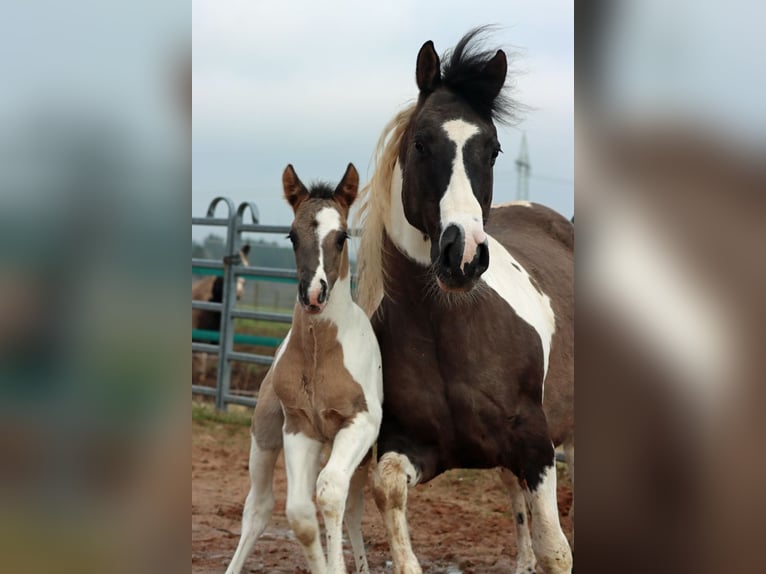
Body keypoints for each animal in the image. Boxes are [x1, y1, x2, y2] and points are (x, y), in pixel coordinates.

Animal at [226, 163, 384, 574]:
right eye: (292, 236)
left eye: (342, 236)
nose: (313, 295)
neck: (318, 354)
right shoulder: (299, 427)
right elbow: (299, 513)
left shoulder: (361, 423)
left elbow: (330, 493)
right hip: (265, 434)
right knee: (258, 507)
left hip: (364, 454)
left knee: (357, 505)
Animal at [356, 29, 572, 572]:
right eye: (421, 142)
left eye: (493, 149)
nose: (464, 254)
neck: (446, 329)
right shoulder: (412, 446)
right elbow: (388, 489)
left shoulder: (537, 447)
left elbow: (556, 550)